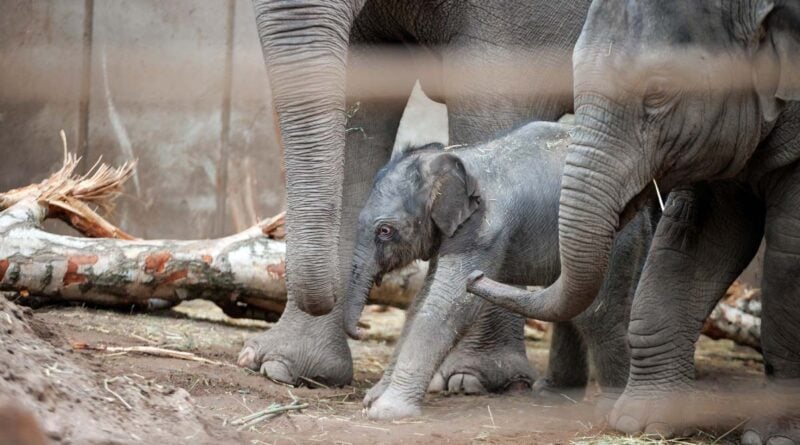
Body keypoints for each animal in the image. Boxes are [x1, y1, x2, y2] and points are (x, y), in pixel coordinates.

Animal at [346, 119, 660, 418]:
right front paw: (373, 398)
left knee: (597, 314)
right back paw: (553, 395)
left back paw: (610, 405)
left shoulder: (483, 230)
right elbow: (422, 301)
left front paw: (386, 411)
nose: (361, 330)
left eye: (385, 231)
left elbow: (449, 304)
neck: (457, 156)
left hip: (613, 240)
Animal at [468, 0, 800, 442]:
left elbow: (789, 262)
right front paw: (639, 423)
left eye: (658, 92)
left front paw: (773, 437)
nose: (473, 276)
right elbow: (688, 245)